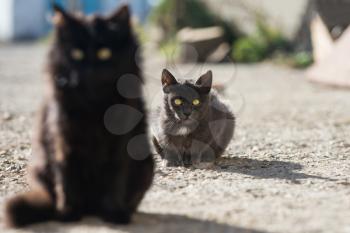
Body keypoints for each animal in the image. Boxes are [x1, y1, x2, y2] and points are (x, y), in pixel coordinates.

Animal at [5, 4, 153, 228]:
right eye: (76, 53)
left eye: (104, 53)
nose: (89, 69)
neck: (94, 106)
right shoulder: (63, 140)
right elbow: (67, 176)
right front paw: (68, 213)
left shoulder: (120, 145)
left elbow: (115, 177)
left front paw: (114, 213)